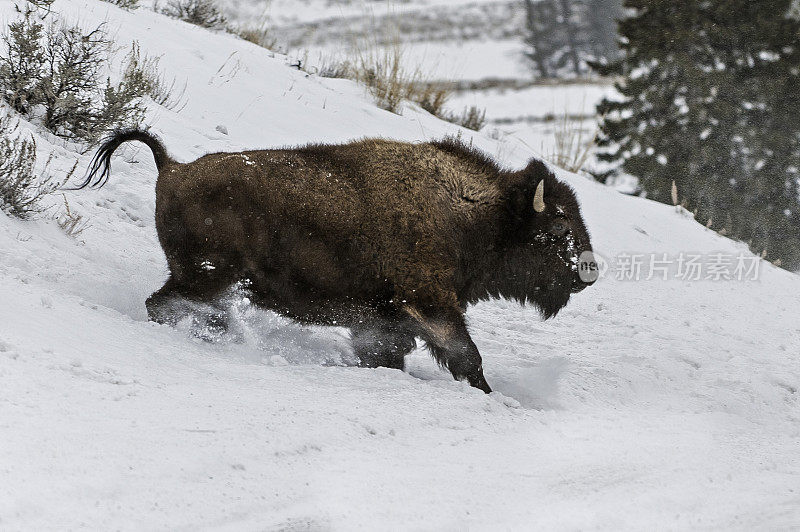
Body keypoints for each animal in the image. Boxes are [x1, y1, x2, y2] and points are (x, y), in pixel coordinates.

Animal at [81, 131, 592, 392]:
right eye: (558, 227)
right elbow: (467, 356)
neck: (476, 213)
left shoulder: (386, 323)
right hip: (204, 275)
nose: (588, 270)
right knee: (164, 305)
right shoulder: (430, 306)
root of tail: (172, 167)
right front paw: (489, 396)